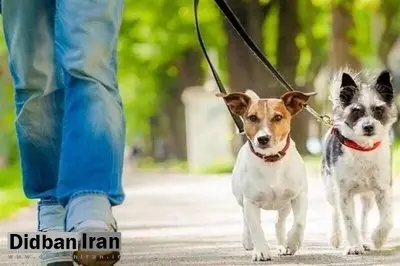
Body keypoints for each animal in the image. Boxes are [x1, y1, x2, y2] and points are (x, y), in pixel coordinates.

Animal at [219, 90, 316, 260]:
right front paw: (261, 251)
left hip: (285, 204)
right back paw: (248, 240)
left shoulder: (299, 195)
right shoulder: (250, 201)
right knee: (246, 219)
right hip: (240, 198)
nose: (263, 138)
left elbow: (299, 223)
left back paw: (282, 245)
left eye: (277, 117)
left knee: (279, 222)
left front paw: (292, 243)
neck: (271, 160)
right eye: (252, 118)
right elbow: (256, 227)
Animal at [324, 69, 398, 256]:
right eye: (356, 111)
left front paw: (377, 239)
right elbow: (349, 222)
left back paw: (364, 240)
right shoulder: (344, 193)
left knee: (363, 218)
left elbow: (388, 219)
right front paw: (353, 246)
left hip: (367, 198)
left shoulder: (383, 190)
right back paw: (336, 237)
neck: (363, 149)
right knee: (335, 212)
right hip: (330, 189)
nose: (368, 127)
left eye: (379, 109)